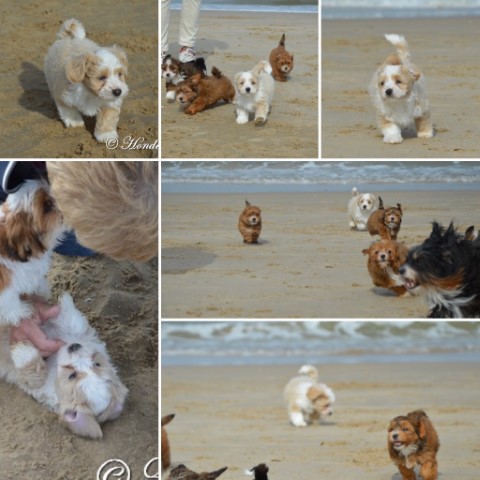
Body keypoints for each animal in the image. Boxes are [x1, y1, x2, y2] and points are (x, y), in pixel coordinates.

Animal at [0, 292, 127, 438]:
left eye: (72, 376)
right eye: (97, 364)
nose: (74, 347)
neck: (55, 362)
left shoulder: (36, 385)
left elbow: (35, 376)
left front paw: (22, 349)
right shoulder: (88, 338)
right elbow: (76, 324)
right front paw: (65, 302)